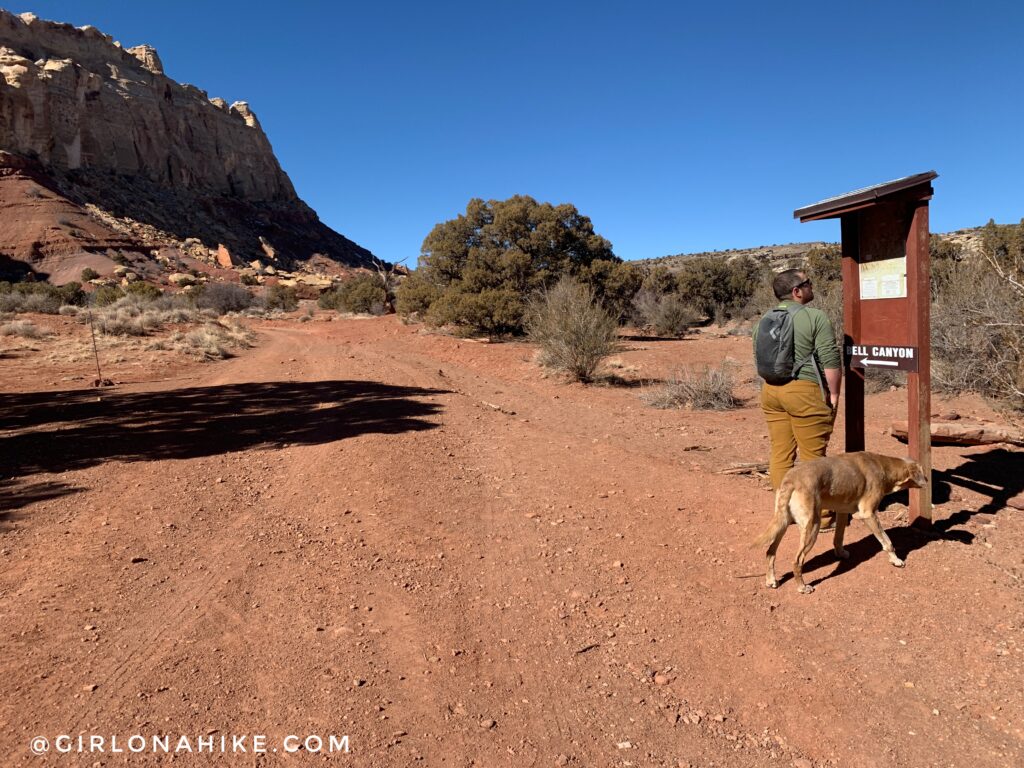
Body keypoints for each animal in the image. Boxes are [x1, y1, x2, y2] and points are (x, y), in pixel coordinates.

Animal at [753, 450, 929, 593]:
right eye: (923, 471)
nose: (928, 481)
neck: (882, 465)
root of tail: (791, 479)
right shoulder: (868, 514)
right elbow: (887, 542)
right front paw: (896, 560)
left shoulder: (842, 512)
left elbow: (838, 538)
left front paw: (840, 553)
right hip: (812, 527)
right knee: (796, 561)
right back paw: (802, 587)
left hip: (782, 523)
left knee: (770, 552)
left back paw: (771, 580)